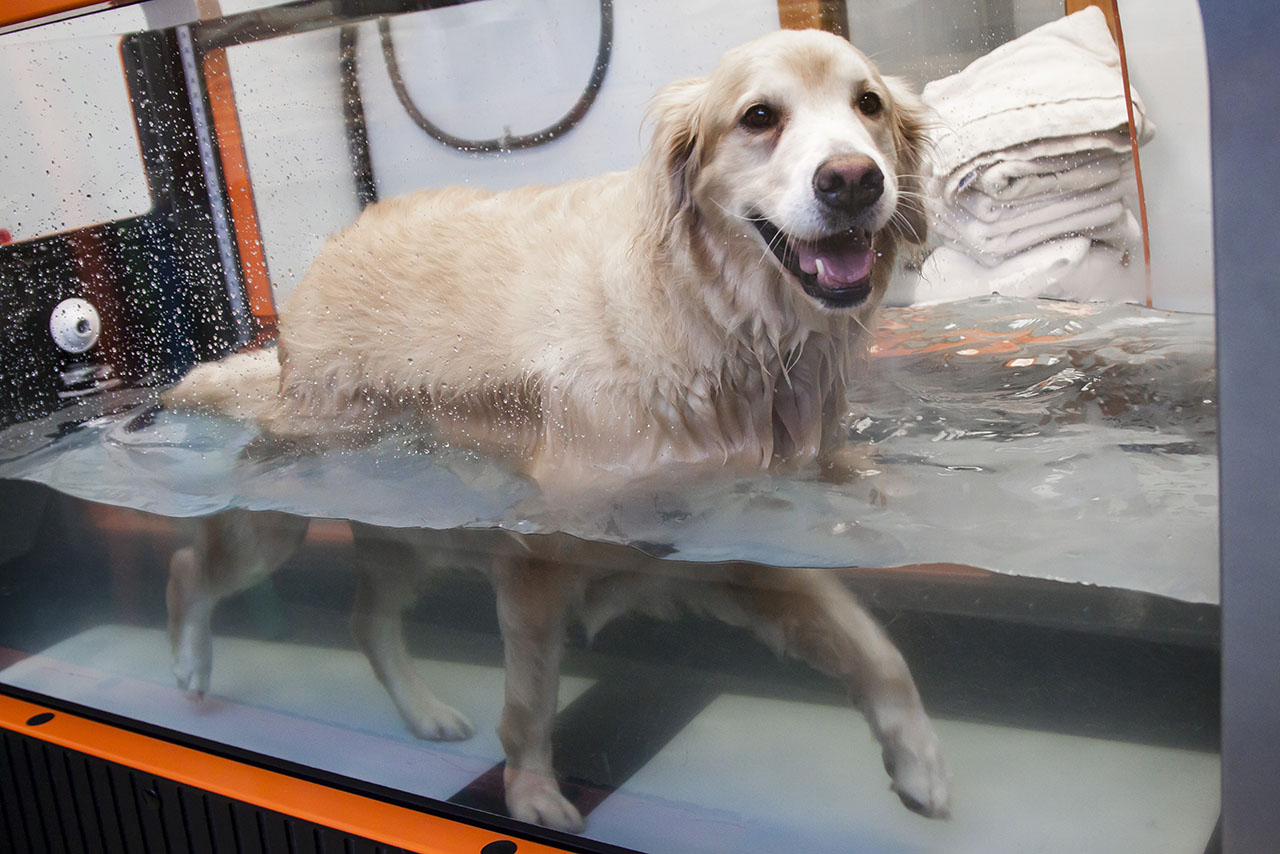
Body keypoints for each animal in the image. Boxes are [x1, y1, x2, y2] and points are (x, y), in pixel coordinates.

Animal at [162, 30, 952, 829]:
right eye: (759, 116)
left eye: (869, 104)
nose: (853, 181)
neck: (713, 321)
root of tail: (334, 245)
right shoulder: (536, 560)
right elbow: (530, 702)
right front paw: (533, 795)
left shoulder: (739, 541)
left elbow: (875, 650)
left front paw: (919, 764)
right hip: (288, 504)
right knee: (192, 567)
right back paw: (190, 664)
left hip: (403, 533)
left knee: (367, 621)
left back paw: (423, 712)